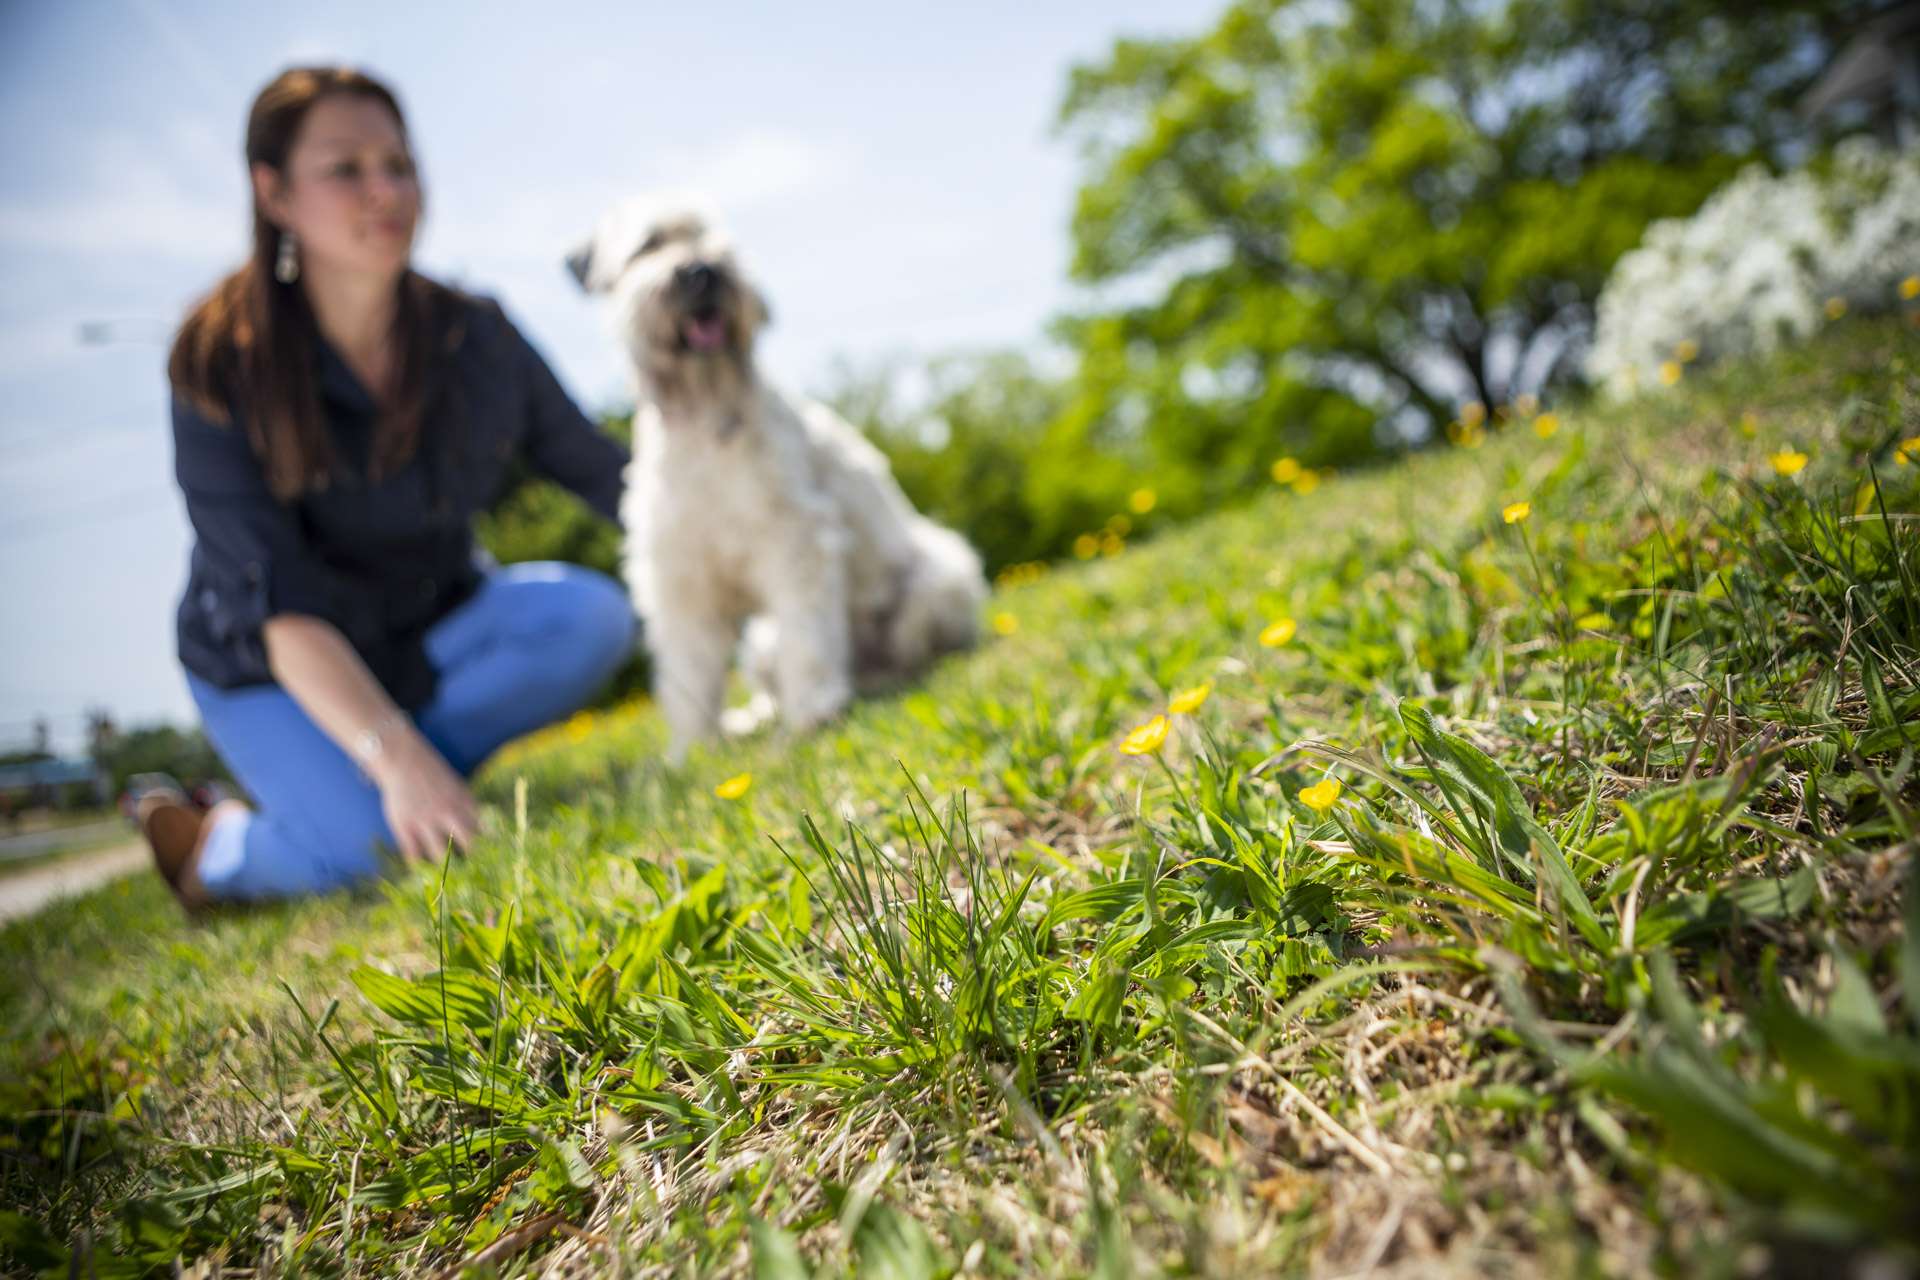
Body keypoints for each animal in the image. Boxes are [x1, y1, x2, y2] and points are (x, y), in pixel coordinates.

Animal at [564, 200, 990, 759]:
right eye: (649, 244)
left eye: (716, 238)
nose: (703, 272)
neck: (706, 416)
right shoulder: (680, 573)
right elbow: (690, 670)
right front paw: (694, 747)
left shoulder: (795, 540)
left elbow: (808, 637)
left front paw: (813, 710)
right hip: (762, 642)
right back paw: (753, 719)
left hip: (938, 580)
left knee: (902, 655)